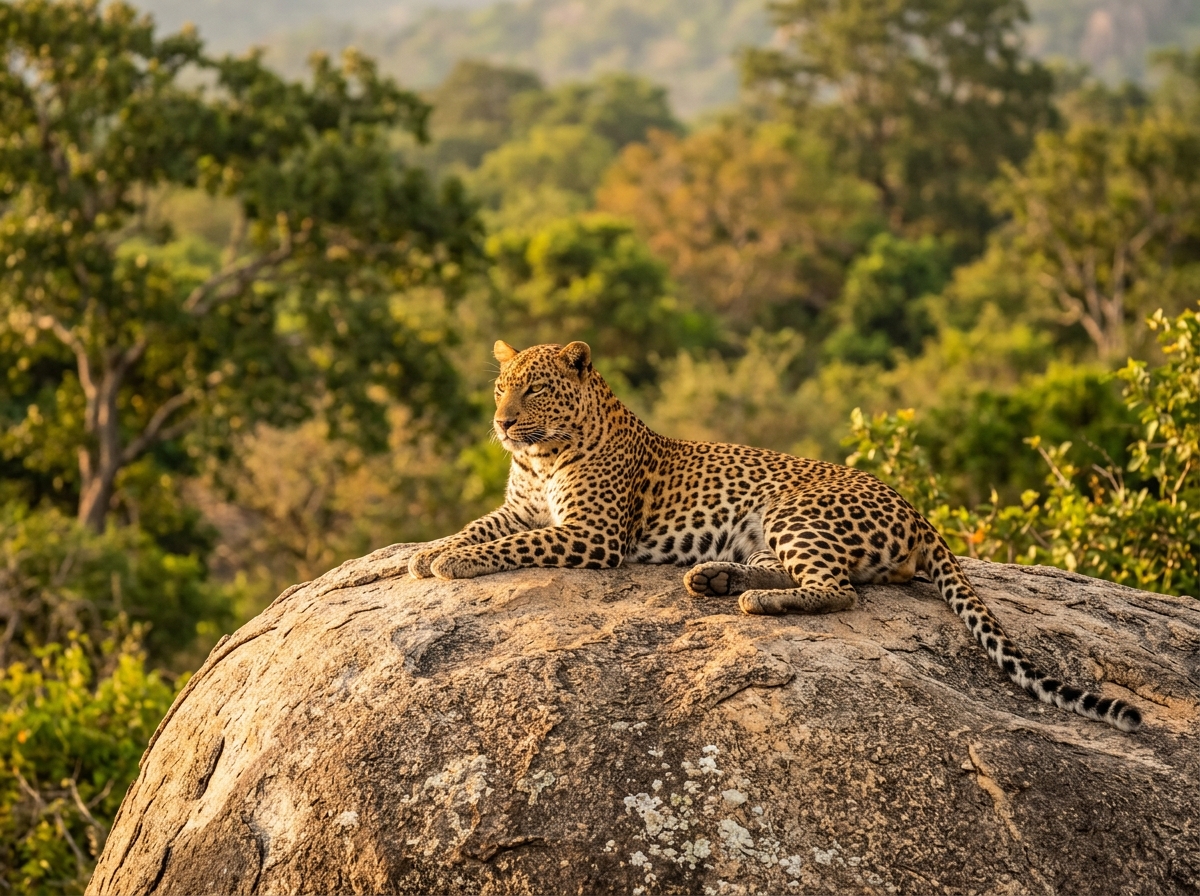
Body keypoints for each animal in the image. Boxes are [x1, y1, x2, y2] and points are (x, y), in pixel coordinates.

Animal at [409, 339, 1143, 733]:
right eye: (501, 388)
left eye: (533, 390)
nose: (502, 424)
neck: (540, 456)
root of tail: (914, 508)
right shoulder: (524, 509)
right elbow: (479, 526)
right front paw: (424, 554)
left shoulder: (593, 534)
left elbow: (507, 546)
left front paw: (452, 564)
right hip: (769, 530)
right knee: (805, 573)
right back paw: (714, 577)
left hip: (798, 513)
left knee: (838, 590)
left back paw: (754, 601)